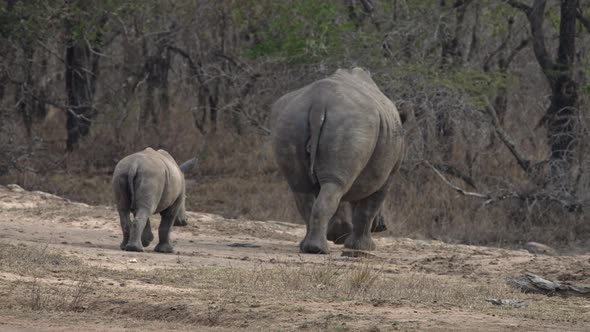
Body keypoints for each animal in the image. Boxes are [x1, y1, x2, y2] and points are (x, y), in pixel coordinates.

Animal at [272, 67, 402, 254]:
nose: (382, 227)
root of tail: (318, 102)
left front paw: (339, 236)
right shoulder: (389, 174)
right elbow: (368, 207)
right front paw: (362, 247)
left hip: (291, 120)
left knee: (304, 188)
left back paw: (308, 247)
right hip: (353, 124)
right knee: (335, 186)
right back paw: (318, 250)